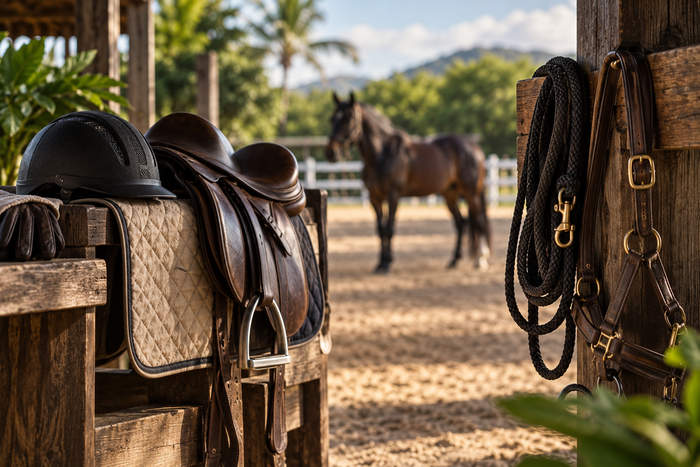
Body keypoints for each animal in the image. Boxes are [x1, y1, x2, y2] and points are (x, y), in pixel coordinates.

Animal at [325, 92, 491, 273]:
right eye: (332, 119)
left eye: (349, 118)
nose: (331, 153)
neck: (383, 154)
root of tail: (474, 147)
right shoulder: (374, 198)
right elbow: (380, 230)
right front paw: (380, 263)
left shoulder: (393, 196)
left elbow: (389, 229)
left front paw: (387, 263)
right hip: (450, 194)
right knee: (461, 222)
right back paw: (454, 261)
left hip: (470, 193)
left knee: (479, 221)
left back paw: (481, 260)